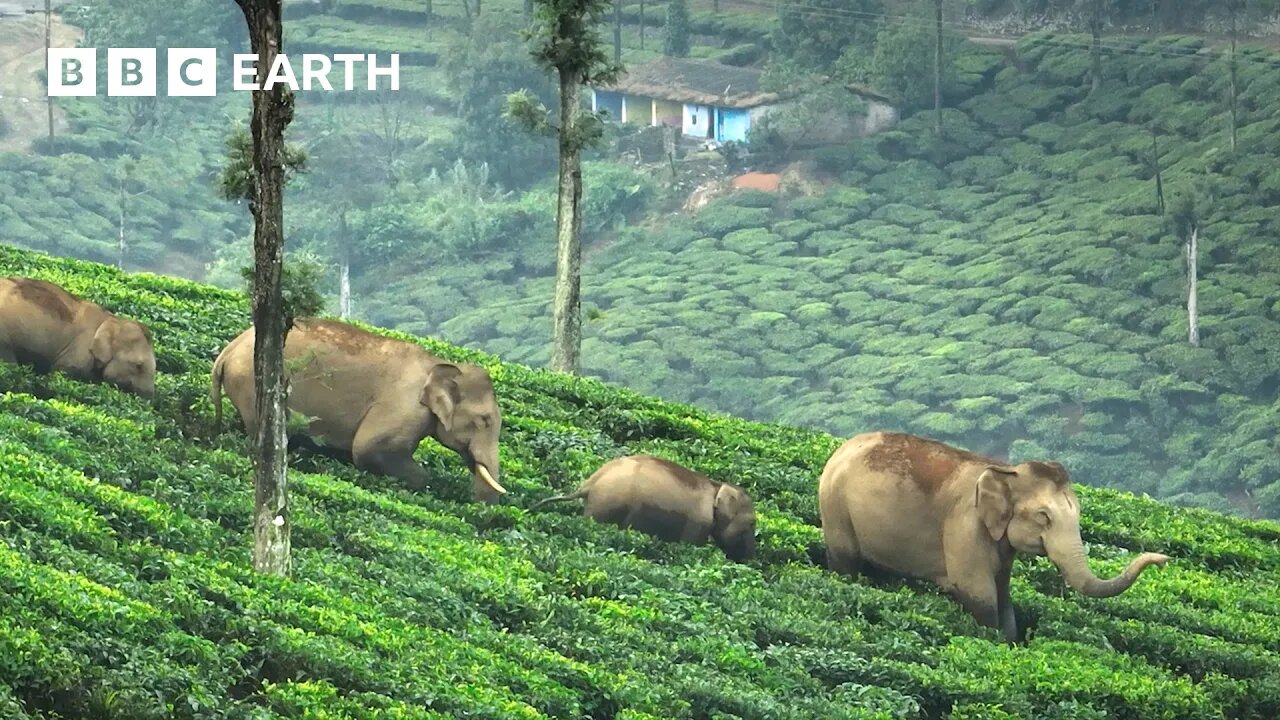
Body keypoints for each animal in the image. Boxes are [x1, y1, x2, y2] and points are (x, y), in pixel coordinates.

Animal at [209, 316, 504, 502]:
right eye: (484, 420)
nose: (479, 506)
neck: (437, 364)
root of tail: (227, 351)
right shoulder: (403, 407)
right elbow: (367, 448)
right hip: (251, 385)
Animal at [524, 453, 752, 561]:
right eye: (751, 524)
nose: (752, 560)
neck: (717, 486)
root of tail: (590, 483)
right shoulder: (698, 522)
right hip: (607, 506)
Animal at [819, 427, 1172, 640]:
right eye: (1044, 517)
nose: (1164, 559)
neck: (1006, 471)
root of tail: (840, 449)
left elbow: (1003, 592)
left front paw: (1011, 640)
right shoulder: (964, 526)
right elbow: (979, 592)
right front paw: (993, 641)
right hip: (835, 509)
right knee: (846, 562)